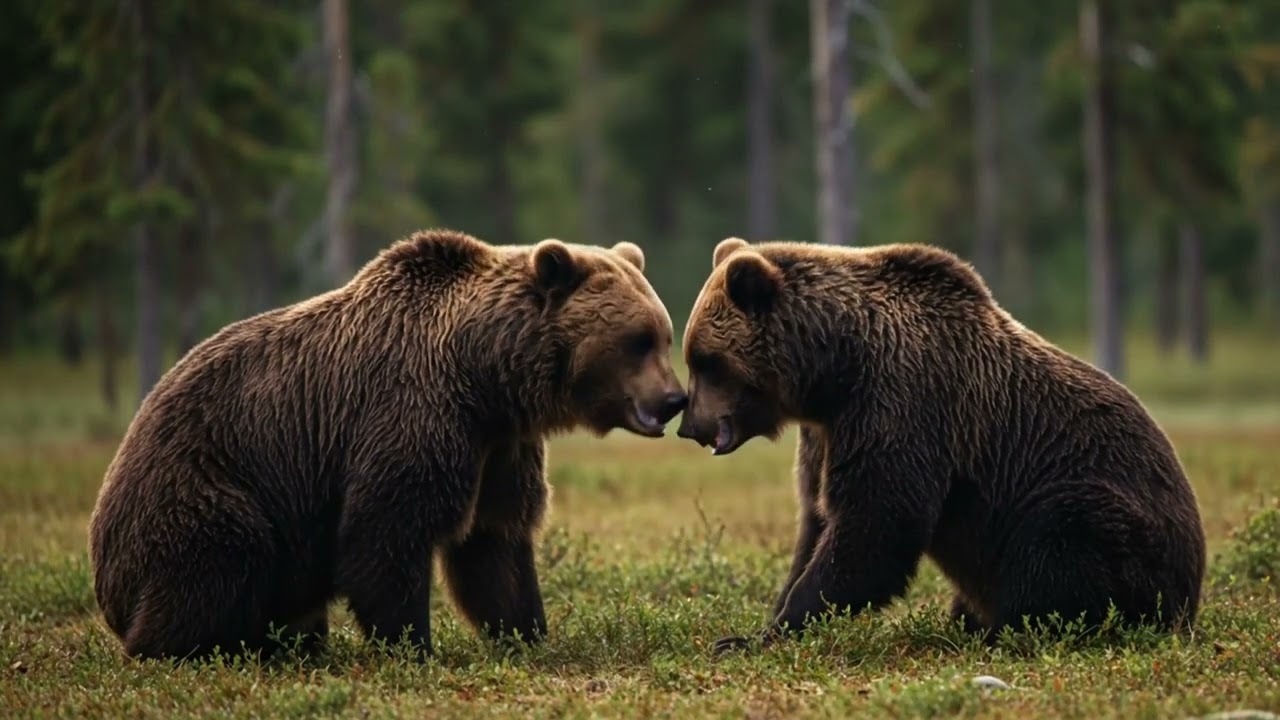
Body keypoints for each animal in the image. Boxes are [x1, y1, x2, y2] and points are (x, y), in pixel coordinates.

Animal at [88, 229, 688, 662]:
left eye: (664, 335)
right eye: (638, 340)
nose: (675, 398)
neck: (484, 376)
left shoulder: (498, 447)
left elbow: (494, 544)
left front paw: (527, 632)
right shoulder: (413, 414)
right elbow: (387, 532)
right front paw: (413, 646)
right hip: (205, 488)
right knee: (218, 563)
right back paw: (191, 648)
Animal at [676, 237, 1206, 653]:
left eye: (705, 360)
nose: (688, 424)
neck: (834, 369)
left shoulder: (903, 400)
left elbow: (877, 524)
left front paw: (759, 635)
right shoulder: (825, 434)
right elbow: (818, 517)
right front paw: (765, 620)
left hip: (1110, 516)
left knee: (1060, 539)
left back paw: (1010, 627)